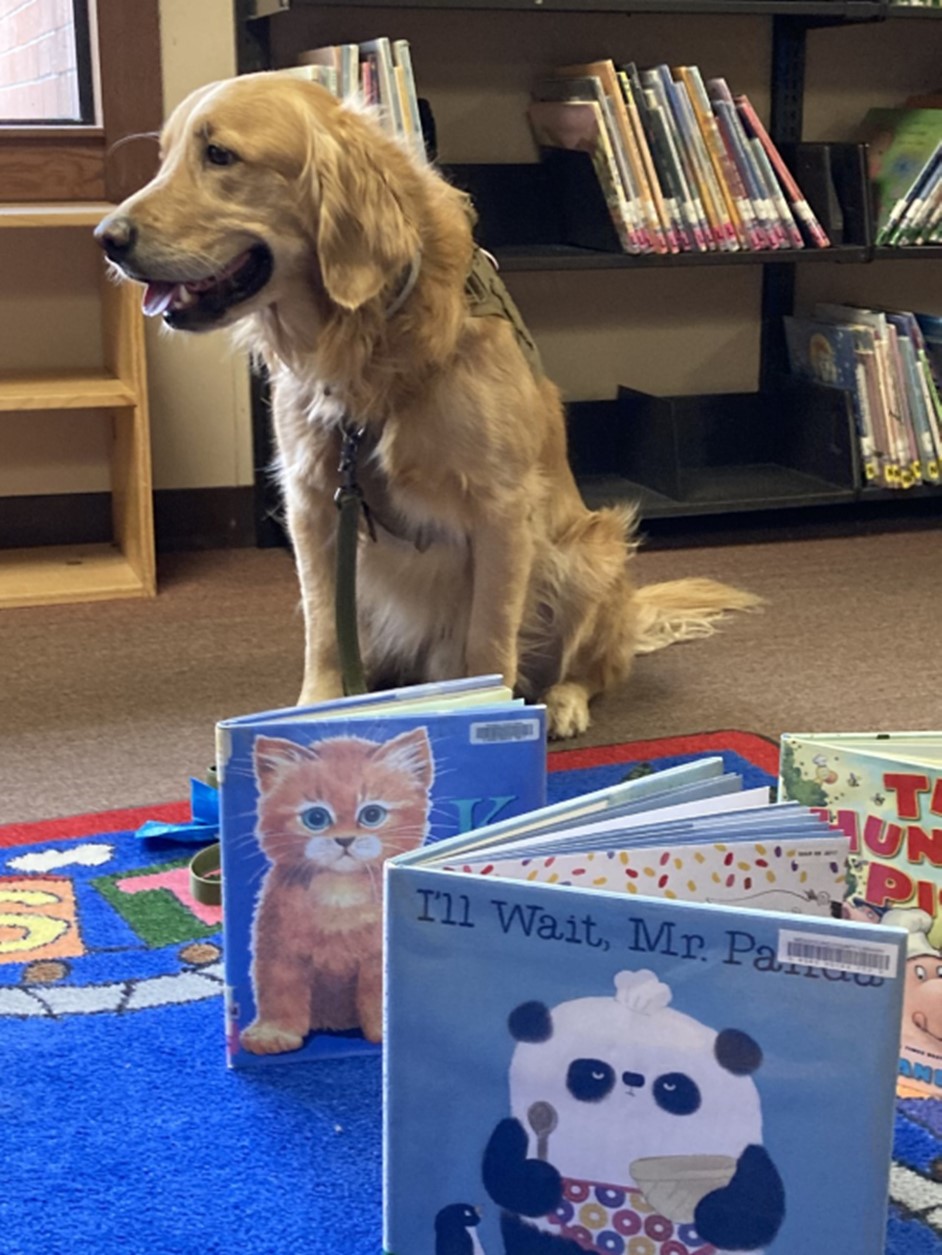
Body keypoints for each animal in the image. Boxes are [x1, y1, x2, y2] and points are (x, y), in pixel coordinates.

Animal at [94, 73, 757, 737]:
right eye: (165, 158)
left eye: (219, 155)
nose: (107, 239)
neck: (367, 342)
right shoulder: (312, 503)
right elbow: (322, 632)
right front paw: (315, 709)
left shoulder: (501, 510)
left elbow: (490, 643)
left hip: (588, 553)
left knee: (594, 669)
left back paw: (564, 702)